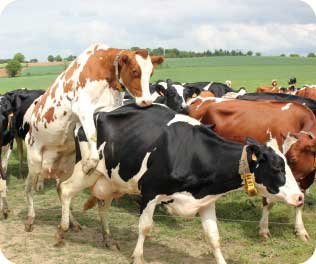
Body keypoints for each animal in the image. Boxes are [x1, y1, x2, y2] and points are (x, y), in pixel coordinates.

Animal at [24, 43, 163, 231]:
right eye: (135, 71)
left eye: (151, 73)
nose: (146, 101)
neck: (105, 69)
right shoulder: (82, 108)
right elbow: (91, 134)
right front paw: (90, 162)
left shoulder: (109, 108)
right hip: (34, 162)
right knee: (29, 189)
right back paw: (30, 219)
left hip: (66, 167)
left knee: (62, 189)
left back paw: (72, 222)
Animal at [55, 103, 302, 264]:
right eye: (277, 168)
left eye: (288, 165)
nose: (299, 197)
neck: (192, 153)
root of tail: (98, 112)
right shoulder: (150, 192)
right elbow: (145, 227)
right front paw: (138, 257)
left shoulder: (205, 200)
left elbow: (214, 237)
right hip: (86, 169)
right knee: (64, 189)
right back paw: (63, 231)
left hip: (109, 180)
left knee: (102, 205)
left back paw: (108, 238)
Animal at [188, 97, 316, 241]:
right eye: (282, 161)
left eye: (293, 160)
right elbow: (268, 203)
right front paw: (264, 229)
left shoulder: (306, 179)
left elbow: (300, 203)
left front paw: (301, 231)